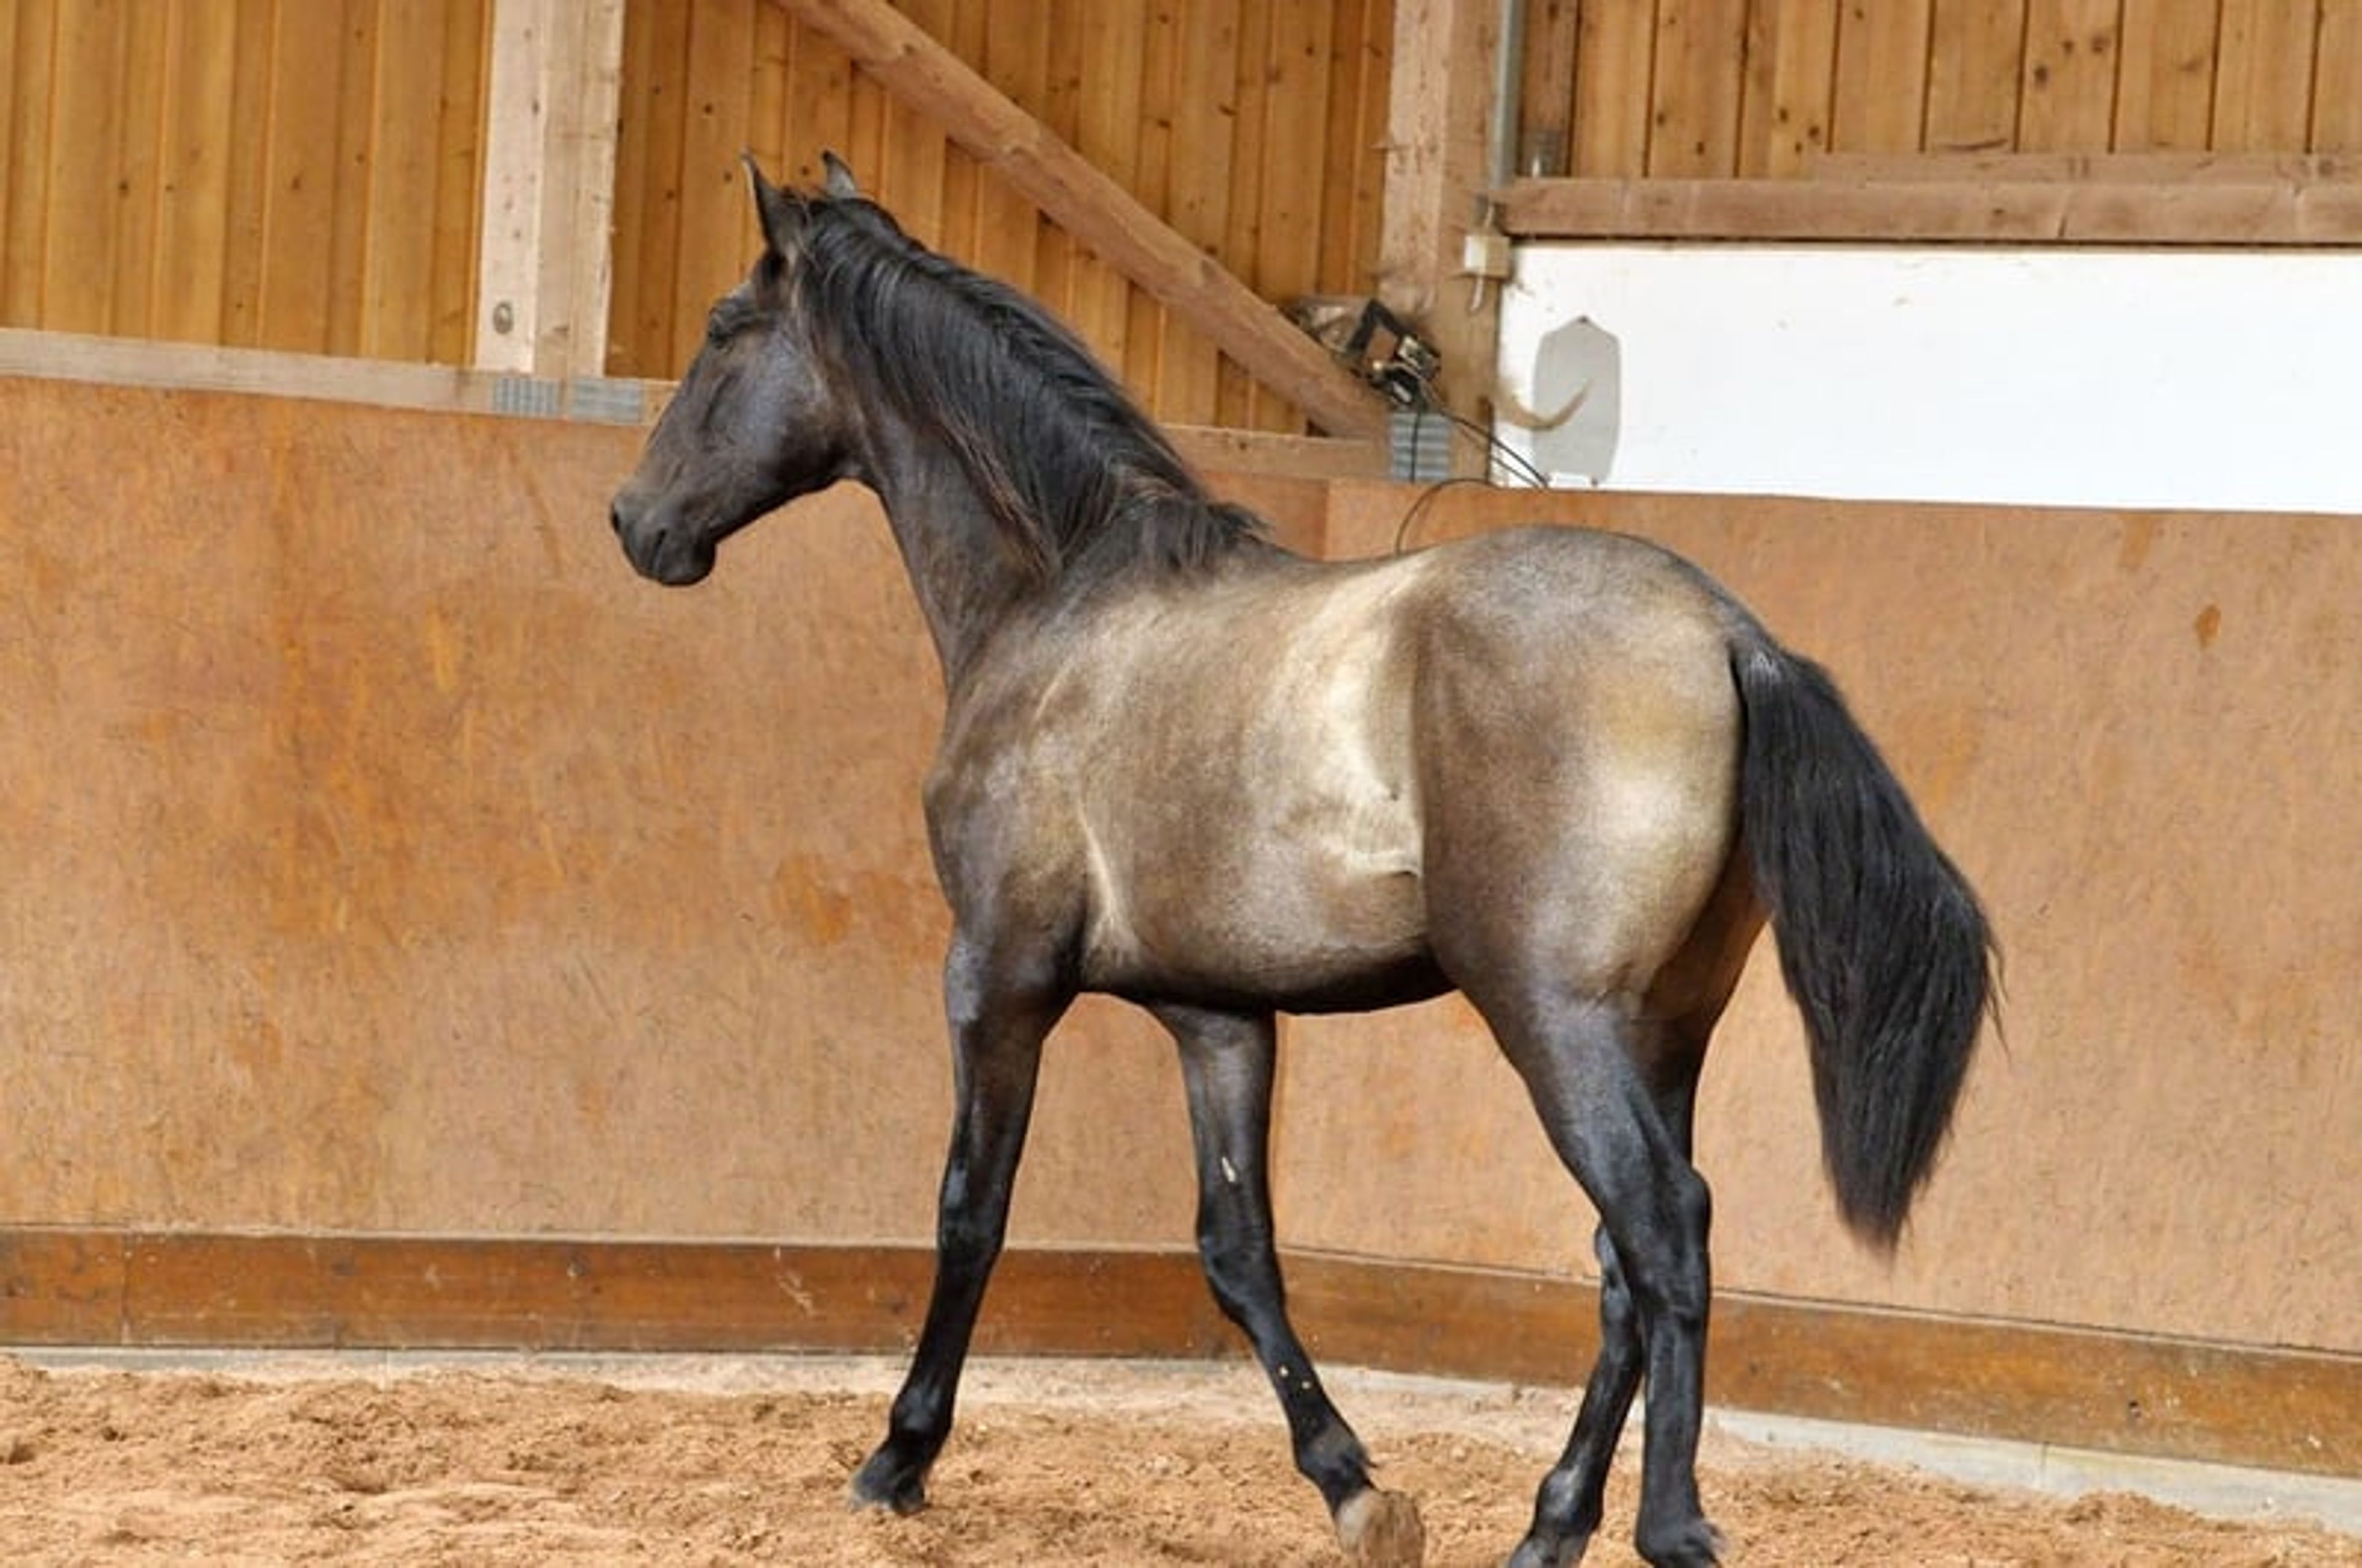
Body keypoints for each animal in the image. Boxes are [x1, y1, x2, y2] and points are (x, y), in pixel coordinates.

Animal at [609, 155, 1994, 1568]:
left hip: (1556, 1021)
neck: (1058, 603)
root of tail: (1725, 631)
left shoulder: (997, 975)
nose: (636, 522)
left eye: (723, 328)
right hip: (1662, 1032)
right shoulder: (1216, 1014)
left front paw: (898, 1456)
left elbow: (970, 1207)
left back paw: (1669, 1523)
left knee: (1664, 1232)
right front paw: (1352, 1483)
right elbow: (1239, 1248)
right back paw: (1548, 1523)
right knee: (1623, 1265)